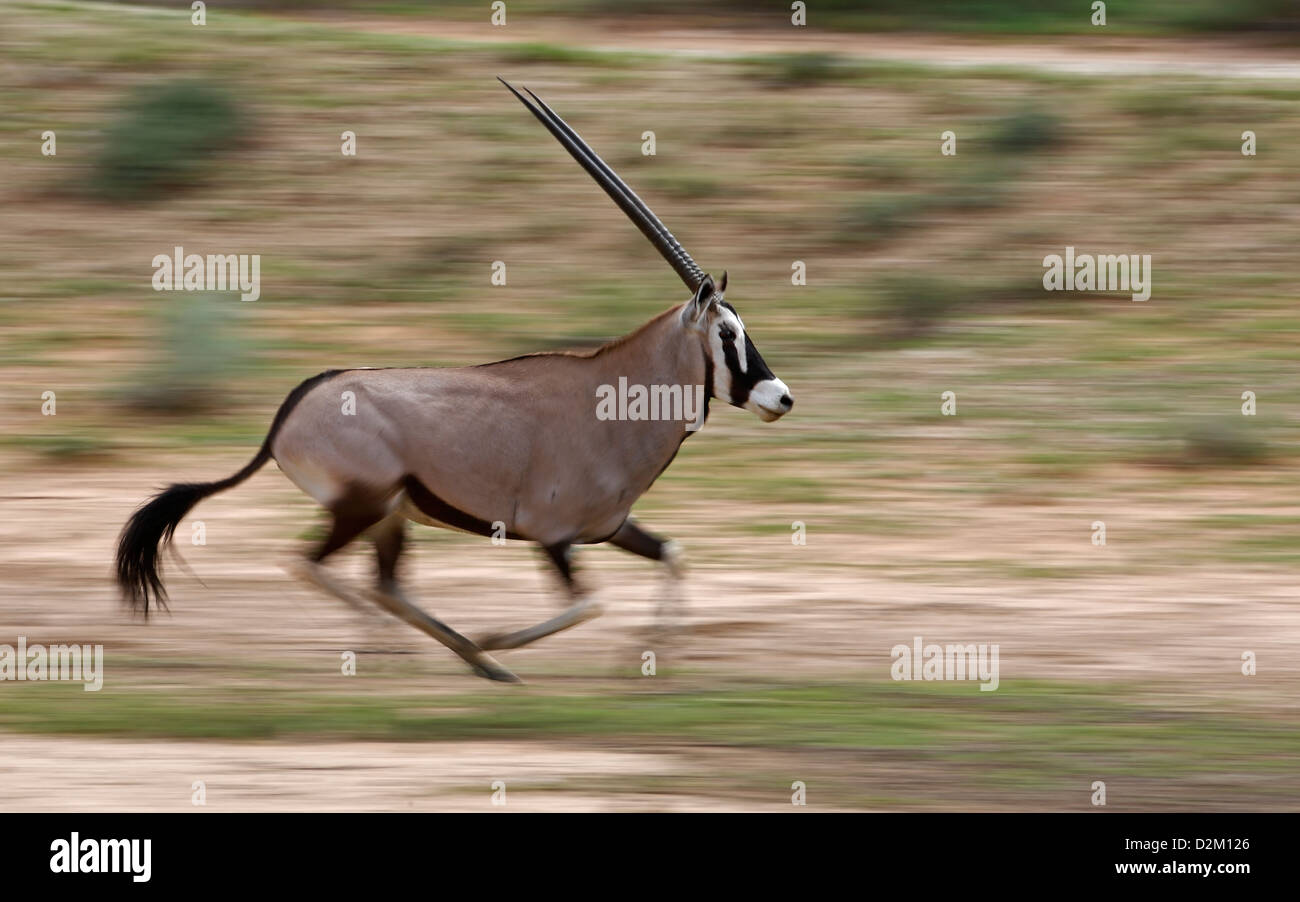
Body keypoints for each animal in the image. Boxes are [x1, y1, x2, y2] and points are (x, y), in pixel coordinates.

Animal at [119, 79, 790, 686]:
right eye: (728, 333)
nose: (779, 396)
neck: (615, 396)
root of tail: (295, 405)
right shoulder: (554, 537)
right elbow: (589, 603)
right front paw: (498, 639)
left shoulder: (610, 528)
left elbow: (673, 556)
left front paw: (651, 656)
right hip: (366, 504)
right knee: (316, 567)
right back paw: (461, 654)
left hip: (388, 516)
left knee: (382, 583)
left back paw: (453, 655)